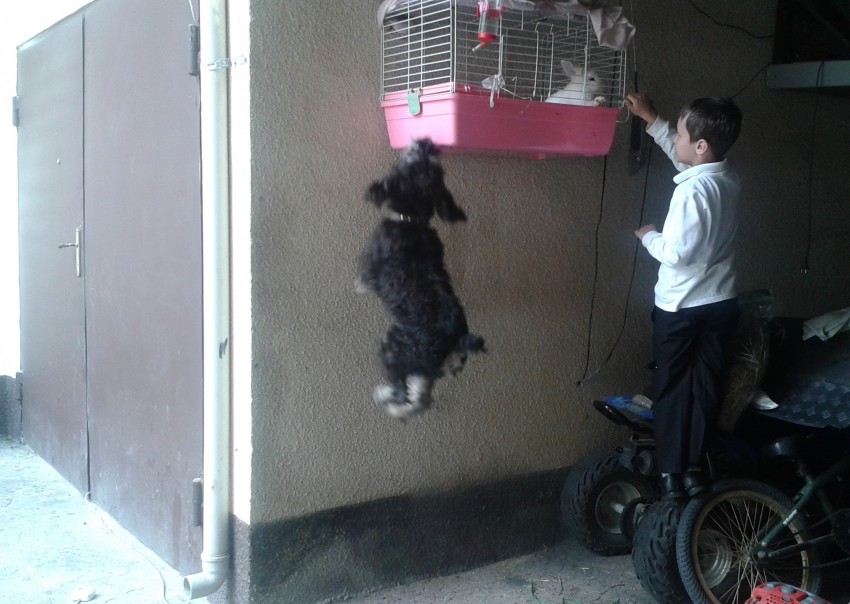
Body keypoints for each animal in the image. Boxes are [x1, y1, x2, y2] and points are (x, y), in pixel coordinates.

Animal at [357, 138, 485, 419]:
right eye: (437, 171)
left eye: (409, 165)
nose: (426, 142)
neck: (412, 220)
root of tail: (456, 342)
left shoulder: (369, 267)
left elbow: (362, 281)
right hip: (423, 368)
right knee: (421, 398)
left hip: (393, 348)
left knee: (403, 392)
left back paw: (386, 401)